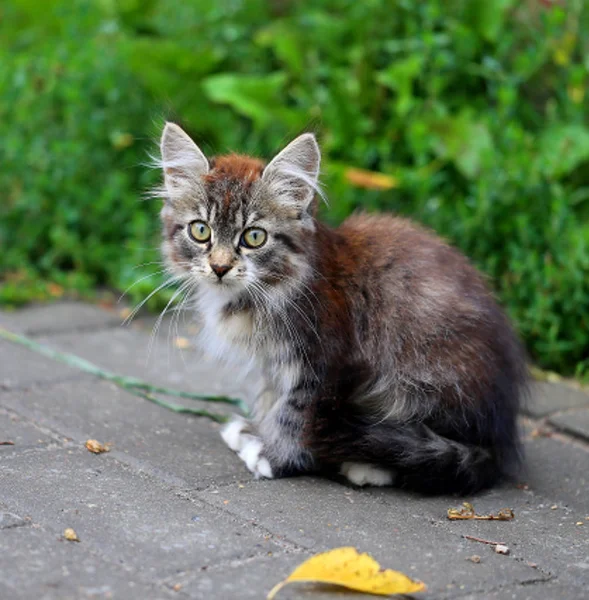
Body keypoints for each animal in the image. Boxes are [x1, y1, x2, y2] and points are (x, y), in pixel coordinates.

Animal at [157, 123, 528, 496]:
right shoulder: (273, 361)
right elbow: (270, 395)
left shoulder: (324, 361)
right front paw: (255, 429)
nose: (219, 267)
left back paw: (368, 465)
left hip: (421, 381)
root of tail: (501, 436)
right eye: (201, 231)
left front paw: (275, 457)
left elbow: (295, 414)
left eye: (254, 237)